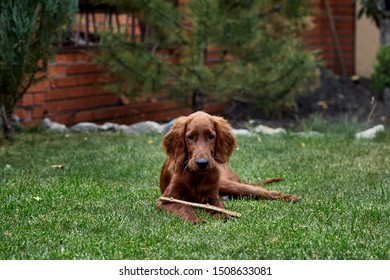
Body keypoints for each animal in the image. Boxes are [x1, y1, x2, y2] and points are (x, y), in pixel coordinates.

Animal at [155, 111, 298, 223]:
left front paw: (223, 214)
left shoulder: (212, 196)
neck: (196, 176)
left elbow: (218, 205)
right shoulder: (164, 200)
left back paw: (289, 197)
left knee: (263, 192)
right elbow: (184, 207)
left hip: (226, 184)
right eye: (190, 137)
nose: (202, 163)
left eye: (211, 136)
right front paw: (195, 219)